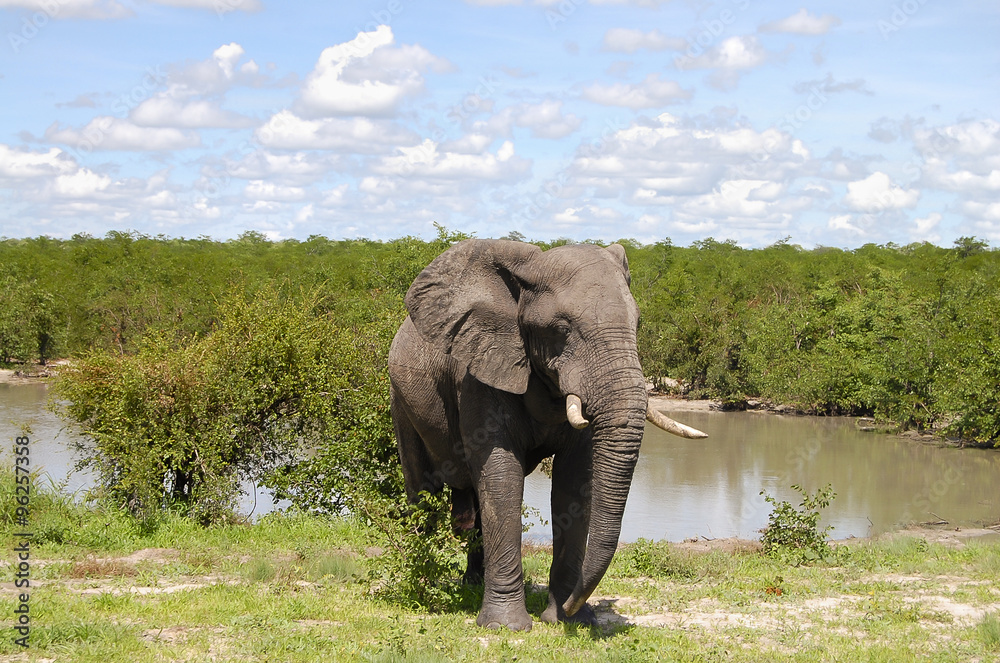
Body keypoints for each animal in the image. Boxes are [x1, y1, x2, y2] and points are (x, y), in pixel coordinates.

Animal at [388, 239, 706, 631]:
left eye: (637, 323)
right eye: (561, 328)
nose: (575, 604)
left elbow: (574, 481)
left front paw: (568, 619)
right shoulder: (480, 372)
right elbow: (501, 475)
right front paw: (506, 627)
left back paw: (473, 583)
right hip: (401, 400)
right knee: (421, 489)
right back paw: (424, 581)